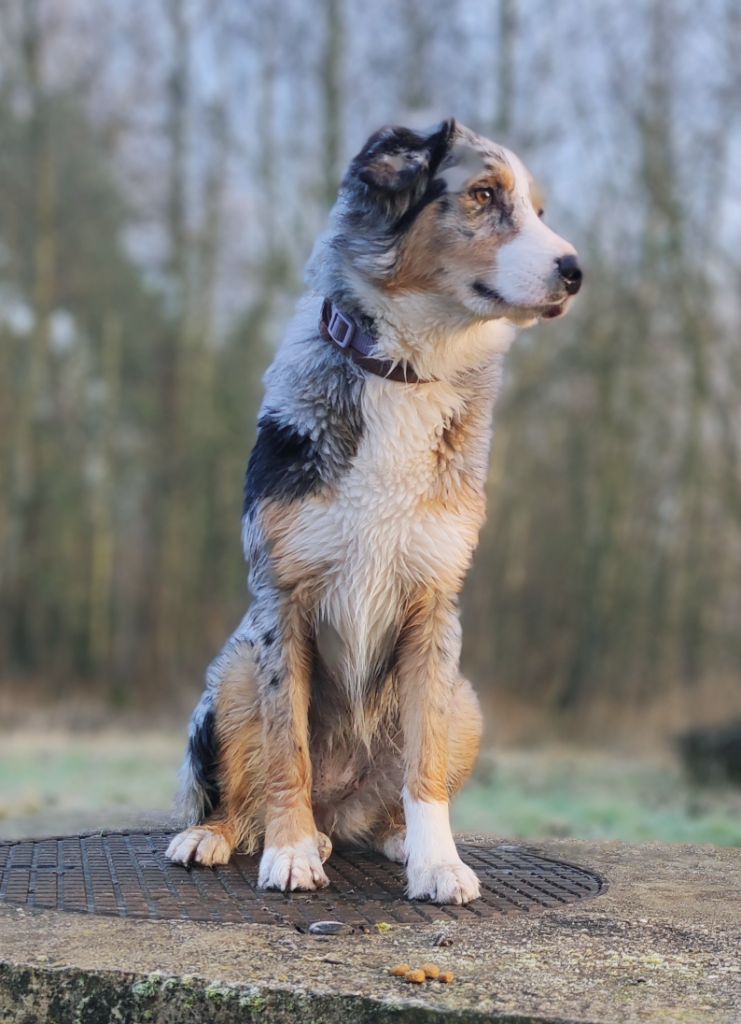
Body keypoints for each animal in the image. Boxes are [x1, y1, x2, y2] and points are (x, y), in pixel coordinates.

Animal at [164, 117, 581, 905]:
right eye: (484, 195)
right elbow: (286, 746)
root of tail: (340, 809)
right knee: (242, 791)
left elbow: (424, 763)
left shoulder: (433, 605)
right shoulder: (282, 599)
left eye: (540, 210)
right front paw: (291, 854)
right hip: (232, 671)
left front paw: (437, 862)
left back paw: (389, 837)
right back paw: (223, 835)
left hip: (465, 699)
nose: (575, 271)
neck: (405, 368)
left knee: (397, 787)